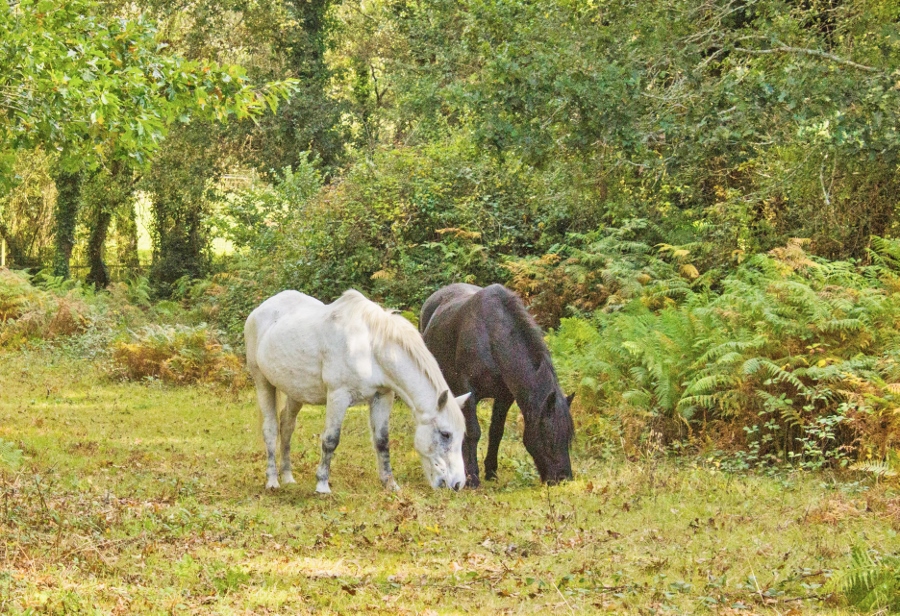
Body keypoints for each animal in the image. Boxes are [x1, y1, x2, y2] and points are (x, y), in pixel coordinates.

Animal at [246, 290, 472, 496]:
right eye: (445, 434)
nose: (458, 484)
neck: (370, 347)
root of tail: (259, 311)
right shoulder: (338, 396)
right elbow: (330, 440)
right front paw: (322, 485)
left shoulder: (382, 397)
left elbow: (382, 441)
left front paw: (390, 484)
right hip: (263, 383)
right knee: (271, 429)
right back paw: (273, 481)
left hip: (295, 392)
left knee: (286, 426)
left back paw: (288, 477)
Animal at [420, 282, 572, 486]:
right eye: (549, 438)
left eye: (568, 437)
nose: (564, 478)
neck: (491, 337)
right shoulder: (468, 391)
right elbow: (473, 432)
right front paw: (472, 477)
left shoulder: (504, 397)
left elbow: (496, 431)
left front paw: (491, 471)